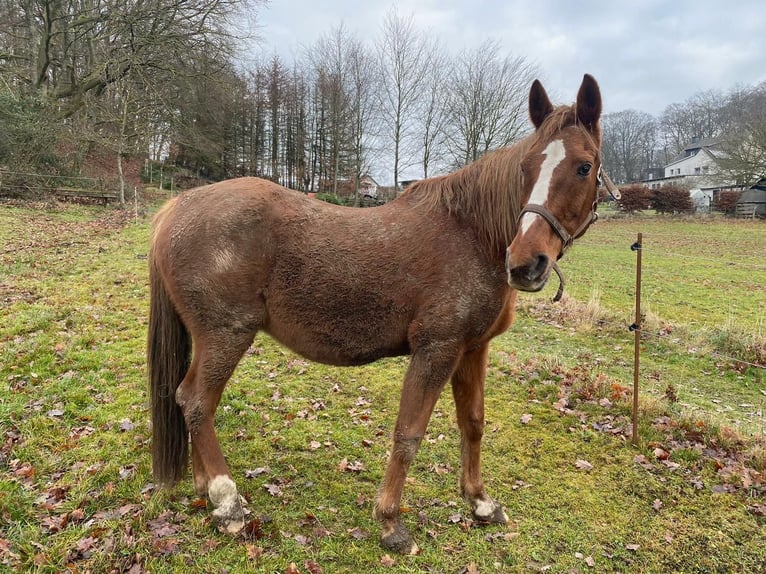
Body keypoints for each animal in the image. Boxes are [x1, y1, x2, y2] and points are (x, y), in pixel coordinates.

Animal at [147, 74, 608, 556]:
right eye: (527, 168)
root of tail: (176, 209)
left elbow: (473, 423)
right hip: (227, 335)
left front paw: (480, 503)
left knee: (193, 404)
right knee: (196, 401)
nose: (523, 263)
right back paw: (228, 502)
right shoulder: (437, 350)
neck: (472, 234)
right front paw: (390, 523)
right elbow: (409, 433)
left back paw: (206, 493)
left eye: (583, 167)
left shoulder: (473, 349)